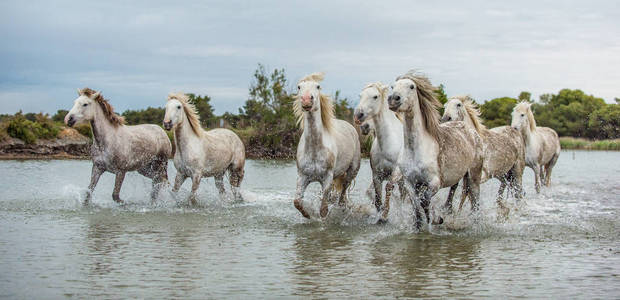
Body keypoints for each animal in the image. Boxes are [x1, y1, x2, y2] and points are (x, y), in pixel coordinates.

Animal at [292, 72, 360, 218]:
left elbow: (323, 210)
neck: (314, 149)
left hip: (352, 171)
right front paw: (308, 215)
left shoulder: (327, 178)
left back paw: (342, 207)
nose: (307, 100)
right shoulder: (302, 177)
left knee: (344, 190)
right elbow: (297, 202)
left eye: (318, 86)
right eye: (299, 87)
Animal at [388, 71, 484, 230]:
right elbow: (417, 210)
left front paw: (437, 219)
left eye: (412, 86)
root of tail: (471, 131)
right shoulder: (410, 183)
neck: (416, 149)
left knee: (475, 202)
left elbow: (425, 201)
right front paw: (423, 224)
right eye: (392, 86)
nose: (393, 99)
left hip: (473, 177)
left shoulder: (434, 182)